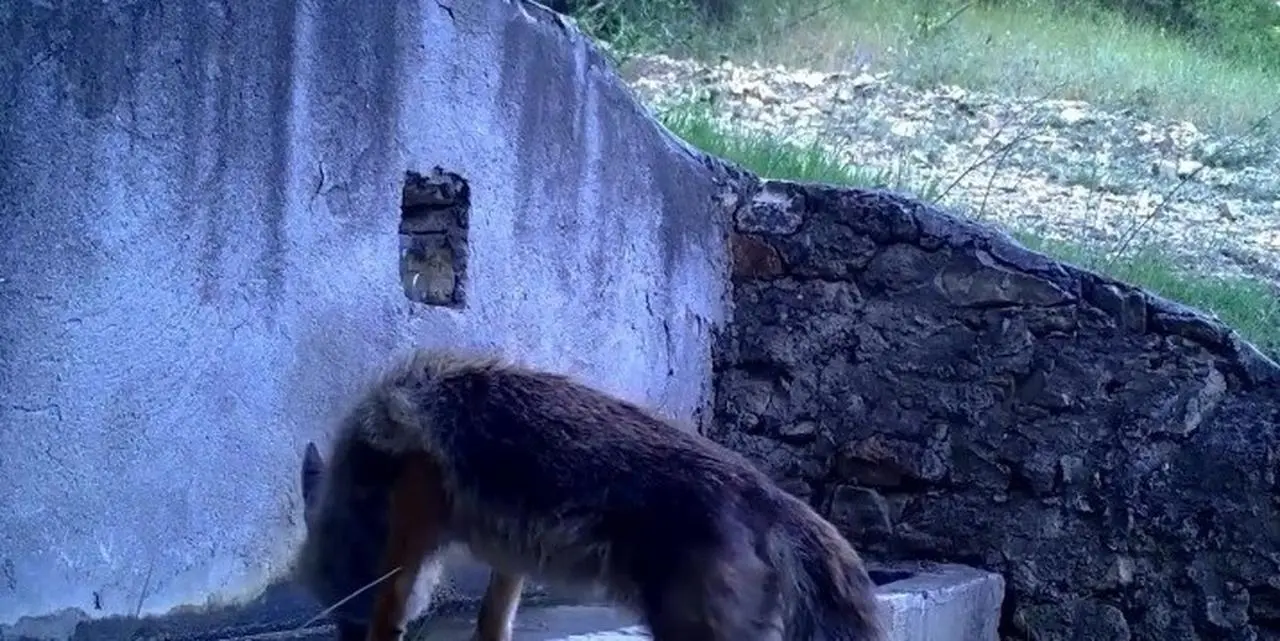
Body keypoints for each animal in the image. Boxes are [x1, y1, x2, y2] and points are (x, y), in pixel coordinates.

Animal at [292, 346, 886, 641]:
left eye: (337, 619)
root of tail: (767, 493)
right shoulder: (511, 561)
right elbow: (491, 626)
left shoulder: (412, 529)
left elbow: (388, 614)